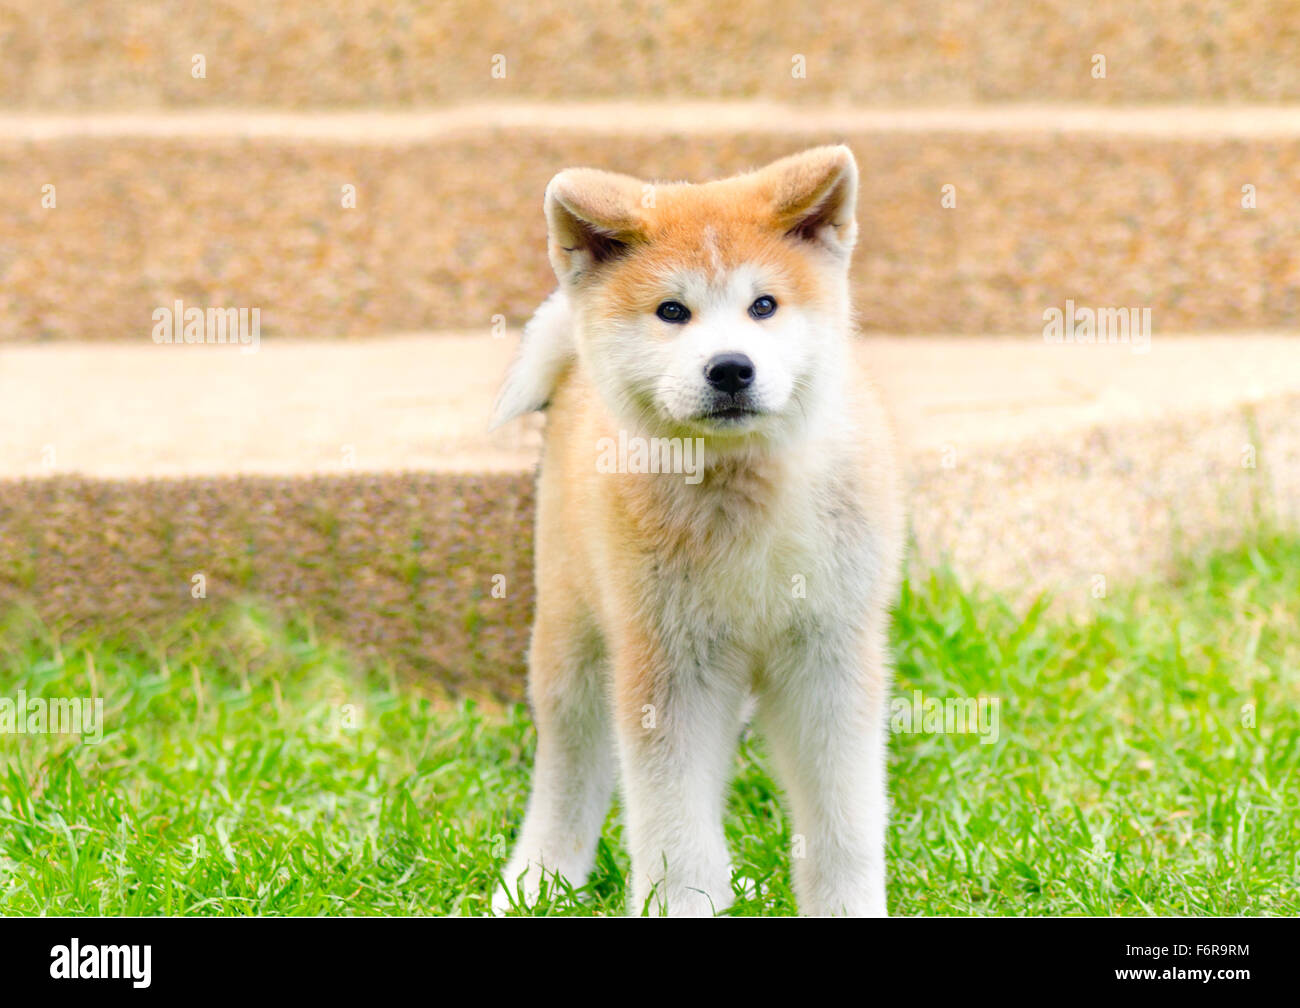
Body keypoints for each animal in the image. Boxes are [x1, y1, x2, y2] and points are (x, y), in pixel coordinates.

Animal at [488, 145, 904, 920]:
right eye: (672, 311)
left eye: (763, 305)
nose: (731, 368)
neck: (743, 492)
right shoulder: (668, 670)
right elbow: (675, 836)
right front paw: (685, 902)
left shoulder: (829, 659)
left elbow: (844, 828)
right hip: (574, 642)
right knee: (569, 771)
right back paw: (537, 880)